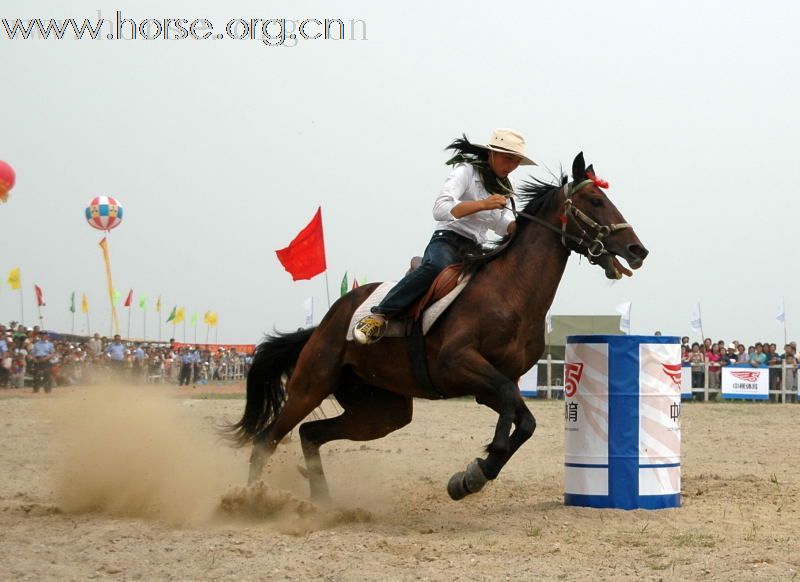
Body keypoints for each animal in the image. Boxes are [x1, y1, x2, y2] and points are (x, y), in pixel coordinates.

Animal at [227, 153, 648, 504]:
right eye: (595, 200)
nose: (637, 250)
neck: (510, 291)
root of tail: (325, 323)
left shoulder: (491, 383)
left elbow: (523, 420)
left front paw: (472, 475)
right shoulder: (458, 363)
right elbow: (511, 406)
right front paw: (477, 469)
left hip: (382, 410)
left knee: (310, 434)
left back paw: (322, 502)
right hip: (311, 384)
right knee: (267, 439)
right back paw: (249, 501)